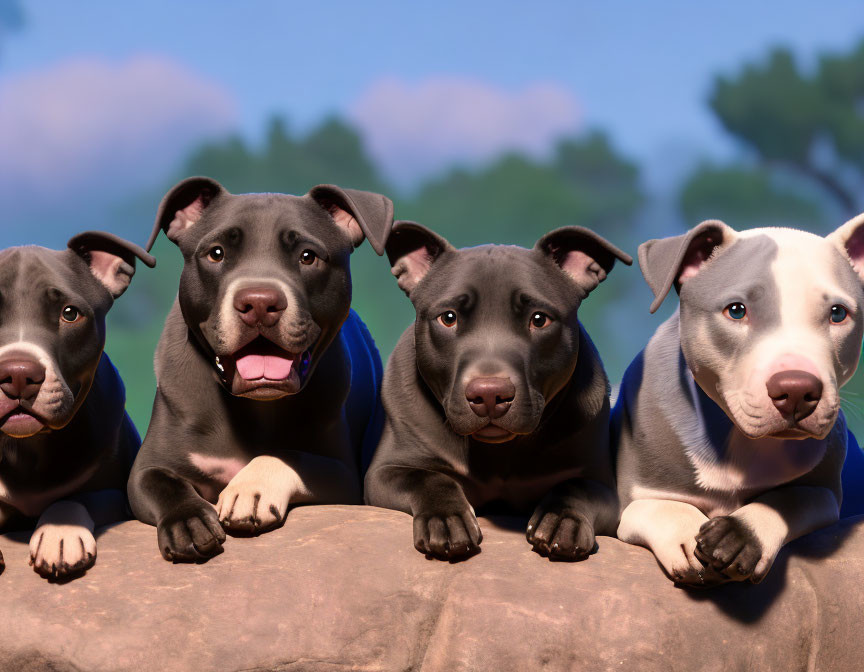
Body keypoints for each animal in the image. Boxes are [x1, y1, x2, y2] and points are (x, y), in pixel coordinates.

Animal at [0, 231, 154, 576]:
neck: (25, 448)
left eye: (69, 313)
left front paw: (59, 533)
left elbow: (75, 499)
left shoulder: (119, 495)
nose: (17, 374)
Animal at [129, 176, 394, 560]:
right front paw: (188, 521)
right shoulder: (147, 466)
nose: (258, 302)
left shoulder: (344, 475)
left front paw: (249, 489)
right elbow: (163, 483)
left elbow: (291, 454)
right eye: (217, 253)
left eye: (308, 256)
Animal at [362, 223, 632, 560]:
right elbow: (428, 478)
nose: (489, 394)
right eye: (448, 318)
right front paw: (447, 519)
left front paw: (562, 519)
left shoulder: (604, 487)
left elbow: (576, 487)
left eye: (539, 319)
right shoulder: (383, 472)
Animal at [612, 214, 864, 584]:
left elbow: (793, 497)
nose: (797, 390)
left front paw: (741, 535)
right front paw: (684, 532)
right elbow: (660, 505)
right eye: (736, 311)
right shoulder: (634, 498)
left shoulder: (826, 494)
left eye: (837, 313)